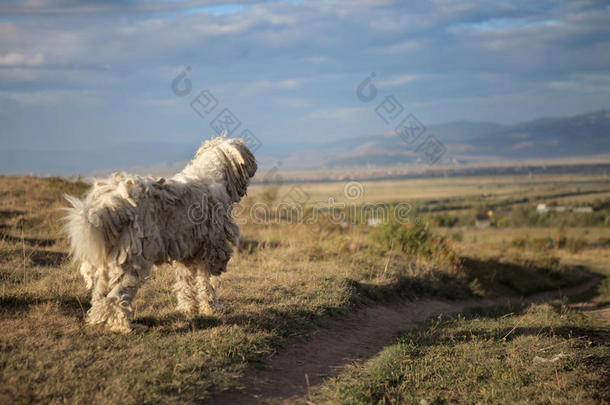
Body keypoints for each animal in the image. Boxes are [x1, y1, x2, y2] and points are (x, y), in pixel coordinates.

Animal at [64, 137, 256, 332]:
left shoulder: (186, 248)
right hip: (131, 257)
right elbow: (207, 283)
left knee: (100, 294)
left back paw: (99, 321)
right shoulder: (210, 248)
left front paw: (188, 308)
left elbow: (185, 282)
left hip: (109, 259)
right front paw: (212, 308)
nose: (254, 167)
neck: (213, 173)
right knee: (117, 296)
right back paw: (126, 327)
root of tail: (108, 203)